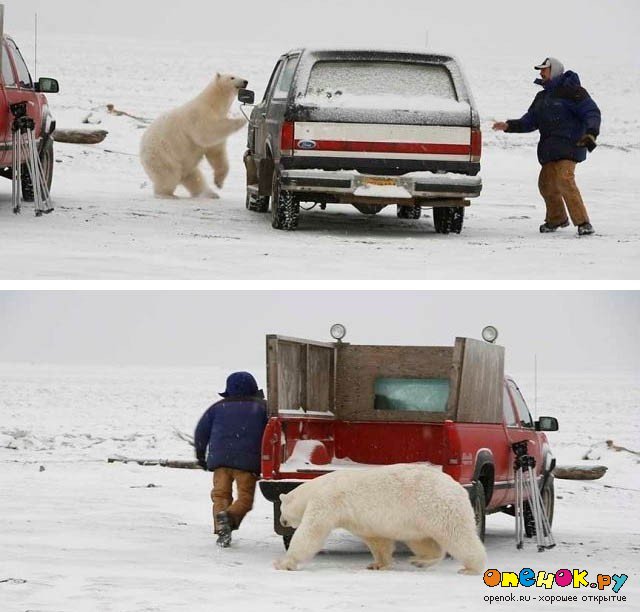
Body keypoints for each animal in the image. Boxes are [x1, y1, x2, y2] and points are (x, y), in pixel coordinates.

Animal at [272, 464, 488, 572]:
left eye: (282, 509)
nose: (282, 521)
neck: (316, 488)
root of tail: (459, 488)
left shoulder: (327, 502)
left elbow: (311, 533)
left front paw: (283, 563)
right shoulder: (361, 520)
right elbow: (377, 540)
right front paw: (377, 564)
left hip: (436, 507)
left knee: (458, 536)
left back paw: (471, 568)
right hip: (417, 518)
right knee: (423, 541)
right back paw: (419, 560)